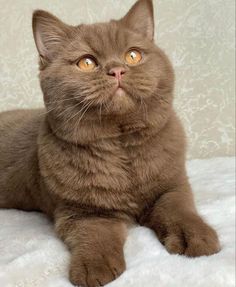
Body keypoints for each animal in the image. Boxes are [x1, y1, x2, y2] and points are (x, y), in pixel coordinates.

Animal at [0, 0, 221, 287]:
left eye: (133, 56)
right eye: (86, 62)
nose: (117, 70)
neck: (121, 145)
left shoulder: (171, 187)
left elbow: (179, 211)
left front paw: (196, 238)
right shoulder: (84, 211)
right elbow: (95, 235)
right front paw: (94, 268)